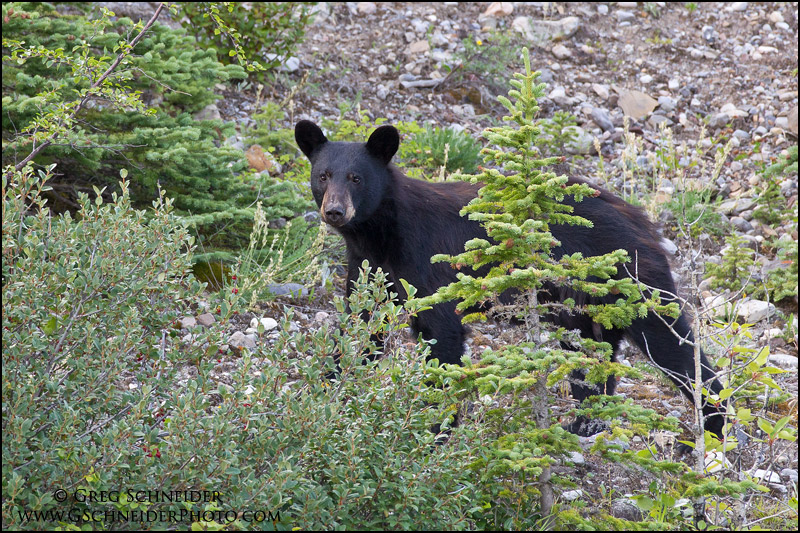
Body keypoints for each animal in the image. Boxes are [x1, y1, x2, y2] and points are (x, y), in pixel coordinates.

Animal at [296, 119, 728, 436]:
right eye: (324, 175)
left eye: (356, 178)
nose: (335, 211)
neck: (380, 235)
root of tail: (643, 220)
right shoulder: (368, 270)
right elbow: (360, 328)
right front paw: (327, 391)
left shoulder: (430, 267)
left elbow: (443, 340)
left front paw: (437, 429)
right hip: (576, 306)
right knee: (591, 353)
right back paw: (584, 421)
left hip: (632, 282)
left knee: (675, 346)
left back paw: (713, 426)